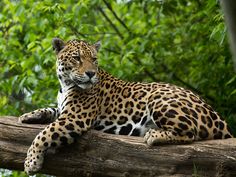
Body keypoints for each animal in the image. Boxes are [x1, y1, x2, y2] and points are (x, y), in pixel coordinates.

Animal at [18, 37, 232, 174]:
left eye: (94, 59)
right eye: (77, 58)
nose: (90, 73)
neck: (65, 84)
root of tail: (219, 118)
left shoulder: (75, 117)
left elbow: (44, 134)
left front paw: (31, 162)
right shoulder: (65, 111)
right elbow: (50, 109)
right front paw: (28, 115)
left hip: (159, 98)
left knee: (191, 132)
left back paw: (154, 135)